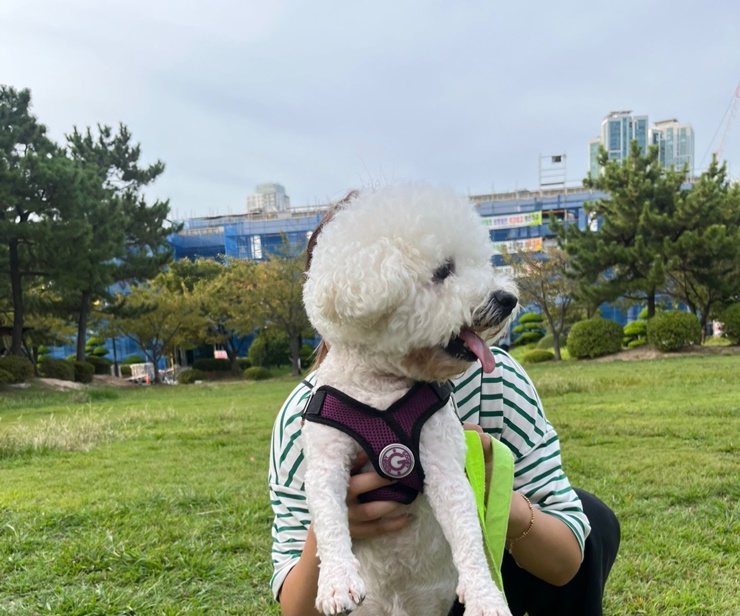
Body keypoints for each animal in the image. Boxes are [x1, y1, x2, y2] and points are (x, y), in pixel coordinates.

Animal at [301, 183, 518, 616]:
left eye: (480, 262)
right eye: (444, 270)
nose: (507, 299)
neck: (381, 386)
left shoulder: (444, 463)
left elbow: (467, 530)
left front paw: (484, 595)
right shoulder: (325, 461)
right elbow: (330, 519)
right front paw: (336, 582)